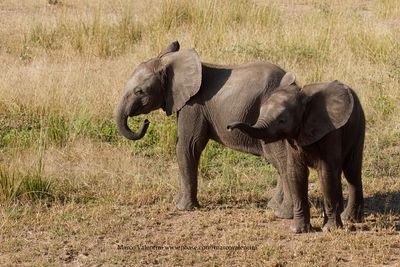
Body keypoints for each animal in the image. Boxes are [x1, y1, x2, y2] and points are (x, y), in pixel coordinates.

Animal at [115, 41, 294, 218]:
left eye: (139, 91)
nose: (146, 122)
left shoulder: (193, 105)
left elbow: (187, 146)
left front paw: (183, 208)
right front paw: (177, 202)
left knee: (279, 159)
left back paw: (282, 212)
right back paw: (273, 205)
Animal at [227, 72, 364, 233]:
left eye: (282, 120)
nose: (229, 127)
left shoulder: (330, 131)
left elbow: (326, 173)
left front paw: (330, 230)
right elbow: (296, 173)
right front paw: (298, 230)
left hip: (359, 125)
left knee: (351, 172)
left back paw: (349, 218)